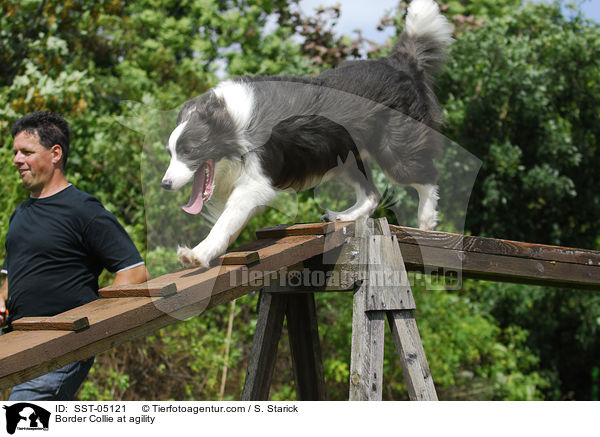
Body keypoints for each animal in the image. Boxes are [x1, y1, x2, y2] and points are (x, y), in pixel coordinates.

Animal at [162, 0, 452, 268]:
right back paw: (344, 216)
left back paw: (426, 221)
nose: (165, 184)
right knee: (372, 194)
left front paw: (197, 254)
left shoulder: (256, 179)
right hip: (343, 155)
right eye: (171, 153)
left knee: (427, 176)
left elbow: (227, 217)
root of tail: (399, 64)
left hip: (395, 150)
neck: (231, 121)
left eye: (190, 151)